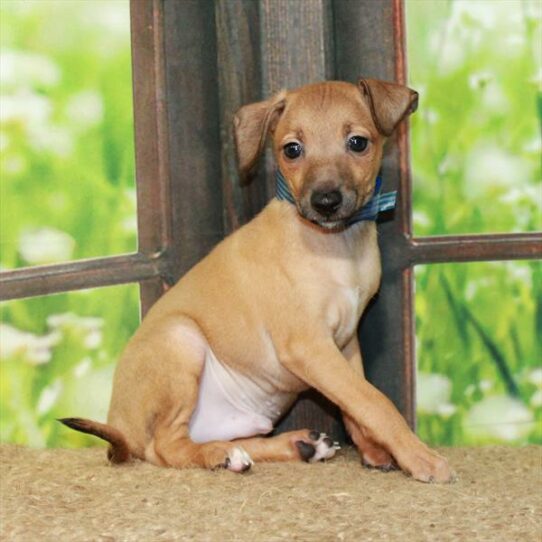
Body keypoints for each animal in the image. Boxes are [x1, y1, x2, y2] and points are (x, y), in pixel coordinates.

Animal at [61, 79, 454, 484]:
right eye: (292, 149)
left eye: (358, 143)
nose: (326, 201)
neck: (335, 246)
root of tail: (120, 426)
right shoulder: (310, 345)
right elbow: (374, 400)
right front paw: (419, 456)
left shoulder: (346, 344)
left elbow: (355, 404)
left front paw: (376, 451)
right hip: (180, 339)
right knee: (166, 446)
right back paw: (221, 455)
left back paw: (296, 445)